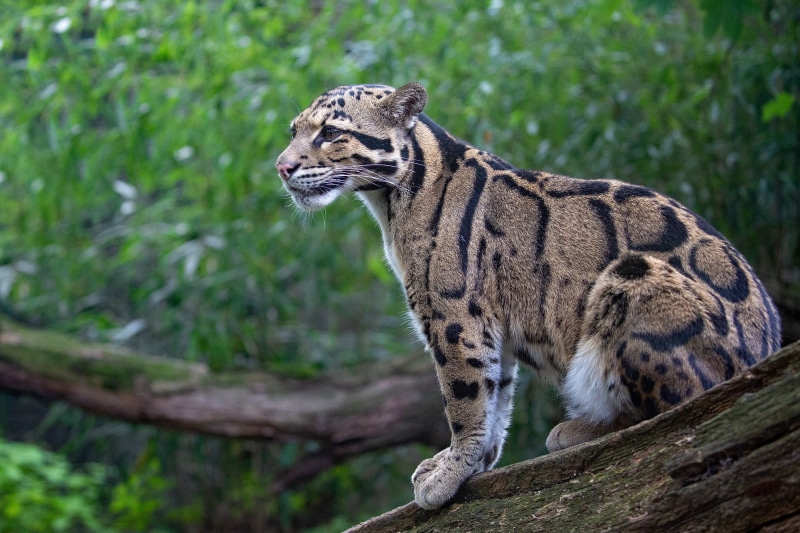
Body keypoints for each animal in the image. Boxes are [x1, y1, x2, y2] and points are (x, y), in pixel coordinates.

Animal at [275, 82, 782, 510]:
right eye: (294, 131)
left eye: (330, 132)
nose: (282, 167)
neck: (393, 200)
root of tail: (764, 347)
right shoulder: (484, 324)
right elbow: (495, 397)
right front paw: (472, 463)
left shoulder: (455, 316)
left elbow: (464, 398)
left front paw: (450, 471)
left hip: (634, 277)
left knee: (683, 405)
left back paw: (582, 429)